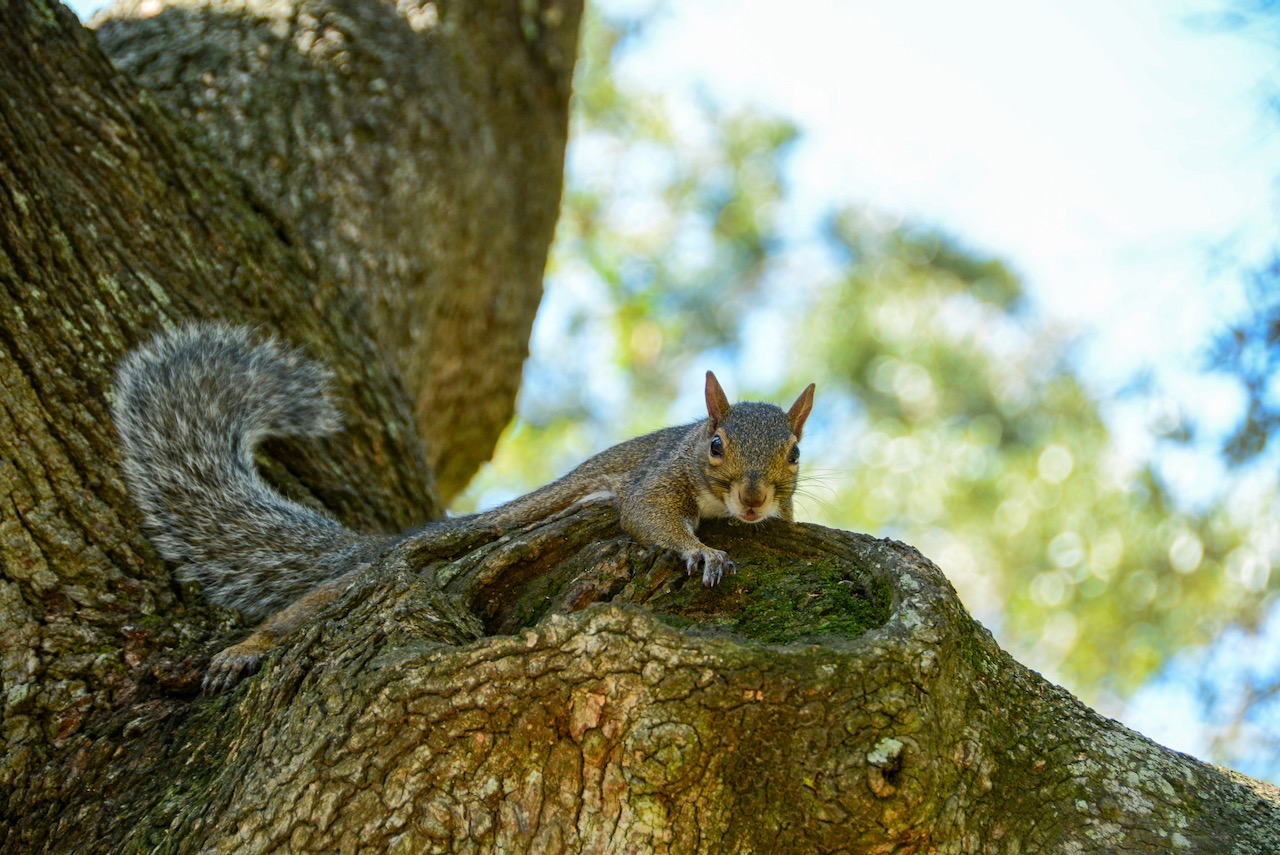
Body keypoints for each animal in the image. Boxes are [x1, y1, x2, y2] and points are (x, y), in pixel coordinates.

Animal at [112, 324, 815, 691]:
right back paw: (246, 648)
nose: (753, 500)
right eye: (716, 444)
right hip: (373, 575)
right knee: (306, 606)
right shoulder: (656, 476)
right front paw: (701, 550)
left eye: (796, 453)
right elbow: (648, 516)